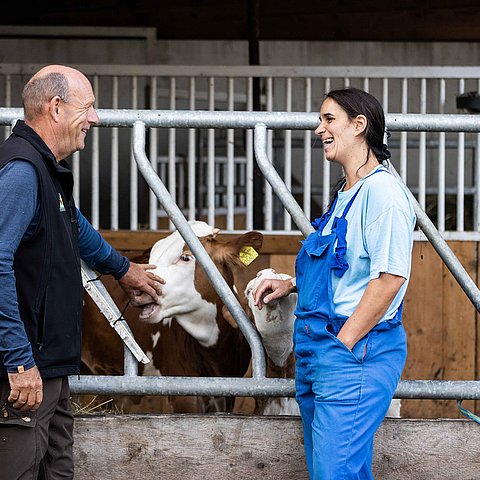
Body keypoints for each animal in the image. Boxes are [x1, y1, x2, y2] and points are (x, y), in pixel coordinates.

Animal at [81, 221, 264, 412]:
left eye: (185, 258)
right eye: (152, 257)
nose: (137, 287)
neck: (214, 352)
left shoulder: (227, 395)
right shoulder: (182, 391)